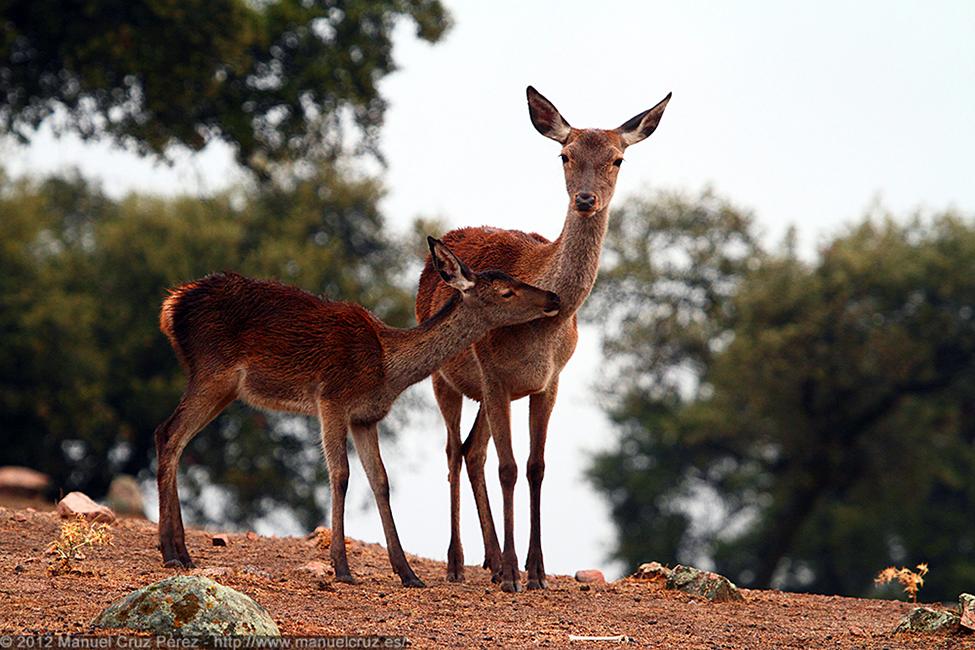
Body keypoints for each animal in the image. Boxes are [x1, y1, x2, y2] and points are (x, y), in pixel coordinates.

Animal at [155, 235, 560, 584]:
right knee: (169, 434)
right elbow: (341, 474)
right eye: (506, 291)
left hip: (223, 387)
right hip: (213, 371)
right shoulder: (331, 398)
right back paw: (173, 552)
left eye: (515, 278)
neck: (387, 368)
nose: (553, 297)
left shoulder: (366, 417)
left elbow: (380, 480)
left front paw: (408, 573)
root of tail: (170, 306)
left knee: (171, 438)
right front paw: (342, 567)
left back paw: (180, 551)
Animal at [412, 87, 672, 592]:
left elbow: (535, 468)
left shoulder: (548, 383)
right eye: (564, 154)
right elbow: (509, 468)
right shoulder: (494, 376)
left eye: (618, 159)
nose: (586, 199)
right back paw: (458, 563)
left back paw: (492, 562)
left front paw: (535, 571)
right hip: (444, 379)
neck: (545, 327)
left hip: (490, 395)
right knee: (454, 451)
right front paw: (516, 573)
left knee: (473, 451)